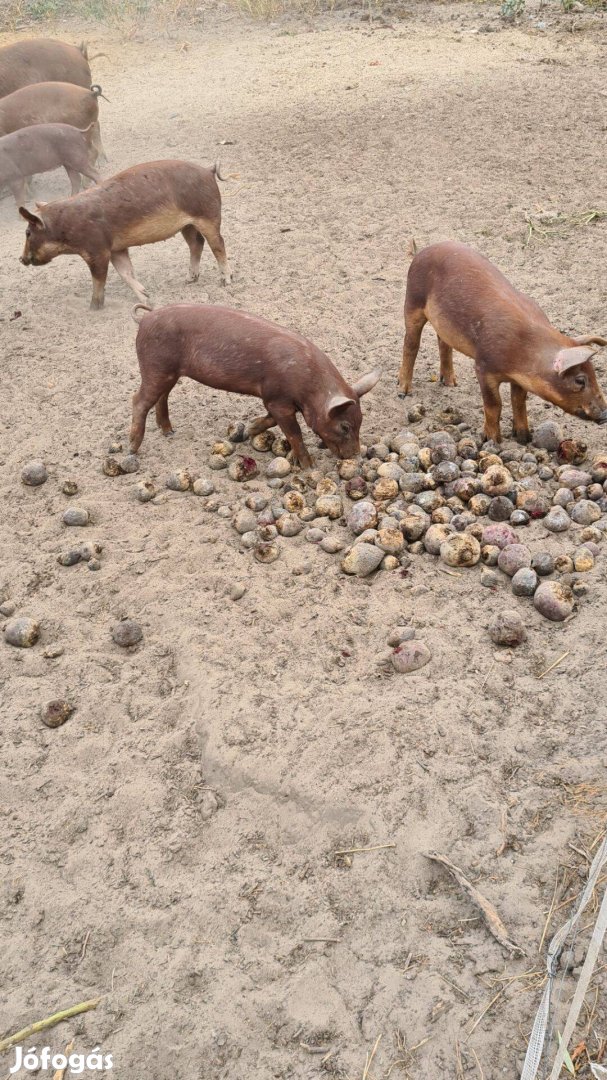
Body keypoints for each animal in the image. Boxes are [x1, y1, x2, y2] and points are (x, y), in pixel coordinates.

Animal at [18, 159, 230, 313]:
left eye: (28, 233)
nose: (21, 259)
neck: (66, 225)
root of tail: (208, 170)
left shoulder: (97, 251)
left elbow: (99, 279)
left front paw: (92, 309)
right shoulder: (117, 248)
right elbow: (126, 272)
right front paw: (147, 298)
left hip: (209, 216)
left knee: (218, 244)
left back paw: (225, 281)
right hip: (187, 225)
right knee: (196, 243)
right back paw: (189, 280)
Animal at [130, 306, 380, 470]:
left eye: (360, 422)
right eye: (345, 426)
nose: (356, 457)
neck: (310, 390)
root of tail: (144, 318)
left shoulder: (273, 400)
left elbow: (269, 420)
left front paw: (248, 430)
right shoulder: (277, 398)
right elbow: (294, 433)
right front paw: (310, 467)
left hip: (169, 372)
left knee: (162, 396)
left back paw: (169, 432)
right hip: (155, 365)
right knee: (139, 400)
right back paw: (133, 449)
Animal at [397, 244, 604, 442]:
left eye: (594, 374)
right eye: (580, 380)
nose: (605, 414)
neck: (525, 353)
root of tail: (424, 250)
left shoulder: (520, 379)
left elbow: (518, 401)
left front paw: (524, 438)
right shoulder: (483, 367)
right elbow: (494, 404)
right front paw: (493, 441)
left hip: (444, 324)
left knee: (443, 342)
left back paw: (451, 384)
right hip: (412, 302)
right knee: (410, 345)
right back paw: (403, 391)